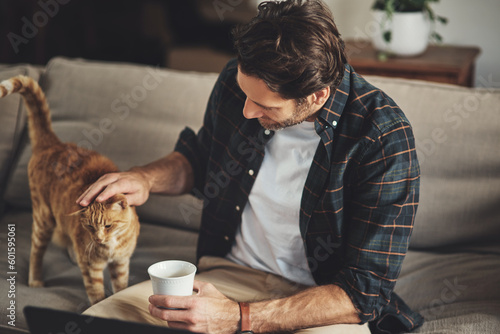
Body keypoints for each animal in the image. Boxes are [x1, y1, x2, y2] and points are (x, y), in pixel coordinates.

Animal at [0, 75, 141, 306]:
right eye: (90, 227)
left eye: (108, 226)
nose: (98, 239)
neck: (110, 247)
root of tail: (54, 144)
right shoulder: (91, 268)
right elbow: (97, 295)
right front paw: (97, 305)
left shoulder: (121, 264)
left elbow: (121, 289)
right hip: (43, 219)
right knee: (36, 252)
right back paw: (35, 280)